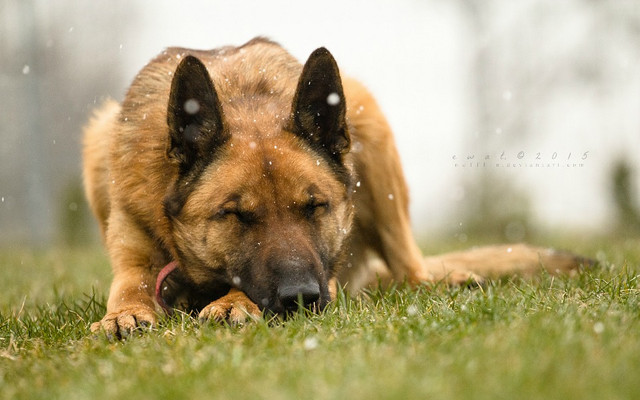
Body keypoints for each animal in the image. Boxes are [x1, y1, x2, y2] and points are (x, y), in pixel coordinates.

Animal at [83, 38, 588, 338]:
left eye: (314, 206)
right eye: (237, 215)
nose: (300, 298)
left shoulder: (324, 266)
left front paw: (233, 303)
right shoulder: (135, 253)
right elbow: (128, 288)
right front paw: (123, 314)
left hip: (369, 116)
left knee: (412, 271)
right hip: (98, 136)